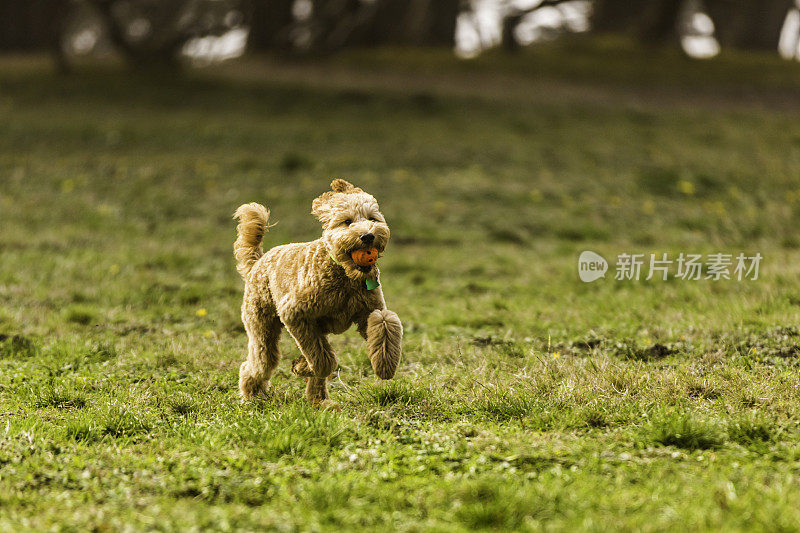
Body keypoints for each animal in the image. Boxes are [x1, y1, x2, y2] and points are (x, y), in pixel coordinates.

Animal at [234, 177, 404, 406]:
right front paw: (302, 367)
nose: (368, 236)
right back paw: (252, 395)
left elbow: (385, 321)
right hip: (262, 326)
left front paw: (385, 365)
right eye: (347, 221)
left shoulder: (370, 311)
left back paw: (321, 403)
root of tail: (257, 262)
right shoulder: (295, 314)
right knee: (258, 363)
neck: (344, 275)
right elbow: (322, 360)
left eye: (372, 218)